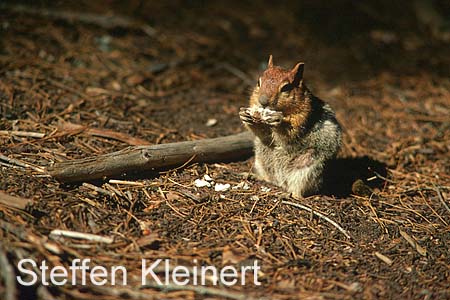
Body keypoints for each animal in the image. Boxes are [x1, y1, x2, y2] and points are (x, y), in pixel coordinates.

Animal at [239, 56, 342, 197]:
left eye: (286, 87)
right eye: (258, 82)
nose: (262, 101)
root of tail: (281, 183)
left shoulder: (303, 117)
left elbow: (291, 133)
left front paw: (279, 120)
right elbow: (263, 134)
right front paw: (245, 116)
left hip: (308, 166)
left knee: (299, 191)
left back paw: (289, 194)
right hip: (261, 157)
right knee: (270, 178)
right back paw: (255, 177)